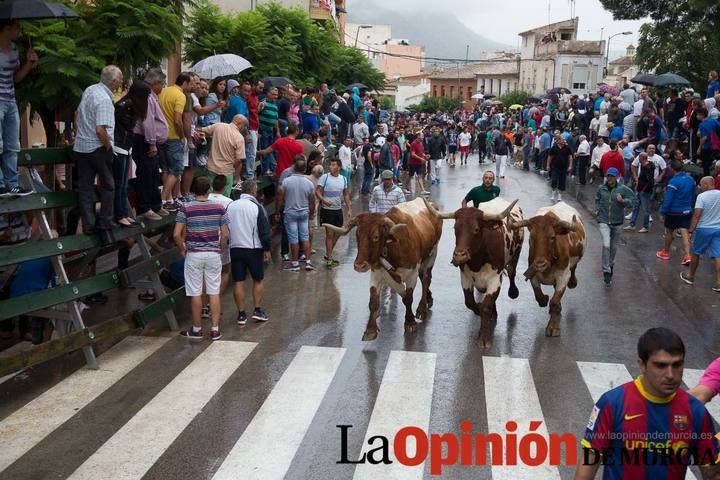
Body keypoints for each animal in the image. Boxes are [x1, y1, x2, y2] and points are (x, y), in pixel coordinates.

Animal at [324, 198, 442, 342]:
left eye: (376, 237)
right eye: (357, 235)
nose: (359, 266)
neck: (392, 247)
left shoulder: (411, 273)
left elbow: (408, 298)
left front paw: (410, 322)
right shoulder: (377, 273)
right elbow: (373, 301)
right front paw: (370, 330)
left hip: (432, 255)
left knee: (426, 279)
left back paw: (421, 308)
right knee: (423, 278)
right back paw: (428, 300)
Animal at [428, 197, 524, 346]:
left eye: (476, 229)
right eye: (455, 228)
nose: (459, 255)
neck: (478, 260)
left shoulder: (494, 279)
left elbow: (486, 306)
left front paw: (484, 338)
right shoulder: (465, 278)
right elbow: (470, 302)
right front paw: (479, 311)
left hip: (516, 254)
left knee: (512, 272)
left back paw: (513, 292)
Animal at [512, 202, 584, 338]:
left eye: (552, 237)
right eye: (532, 238)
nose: (540, 263)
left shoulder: (563, 276)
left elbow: (554, 301)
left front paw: (553, 327)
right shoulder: (533, 273)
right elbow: (539, 296)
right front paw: (544, 299)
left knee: (573, 270)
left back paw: (573, 282)